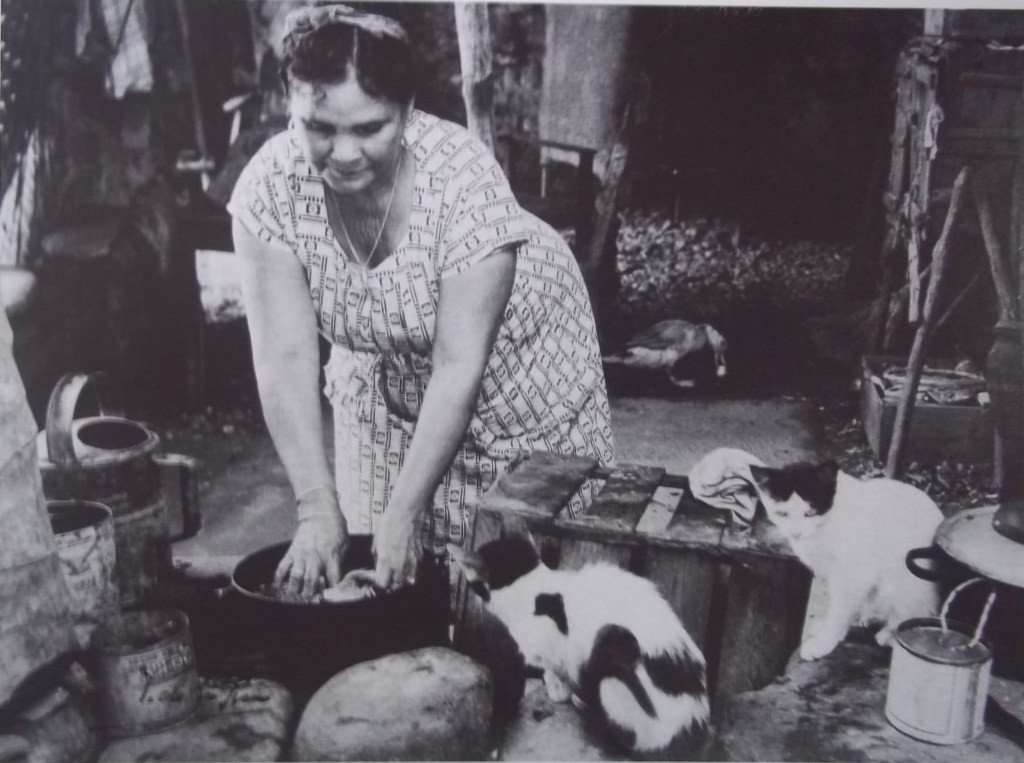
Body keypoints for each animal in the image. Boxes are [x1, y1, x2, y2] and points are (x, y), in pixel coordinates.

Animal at [448, 536, 710, 757]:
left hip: (614, 665)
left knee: (626, 740)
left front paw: (557, 689)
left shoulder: (552, 644)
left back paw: (587, 706)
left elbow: (553, 667)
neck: (535, 590)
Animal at [749, 460, 943, 661]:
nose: (796, 533)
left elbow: (839, 609)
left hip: (908, 581)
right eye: (782, 514)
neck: (827, 523)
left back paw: (890, 633)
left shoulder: (853, 573)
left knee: (915, 613)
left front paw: (824, 641)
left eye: (810, 513)